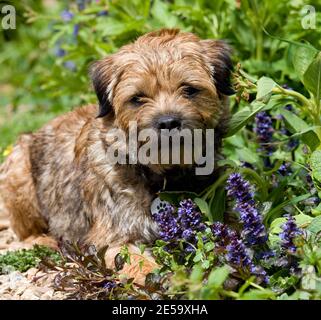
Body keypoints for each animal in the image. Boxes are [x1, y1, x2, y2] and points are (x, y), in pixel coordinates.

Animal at [0, 28, 232, 282]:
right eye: (137, 98)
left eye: (189, 89)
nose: (168, 122)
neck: (161, 176)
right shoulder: (111, 238)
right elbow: (136, 262)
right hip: (18, 170)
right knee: (26, 234)